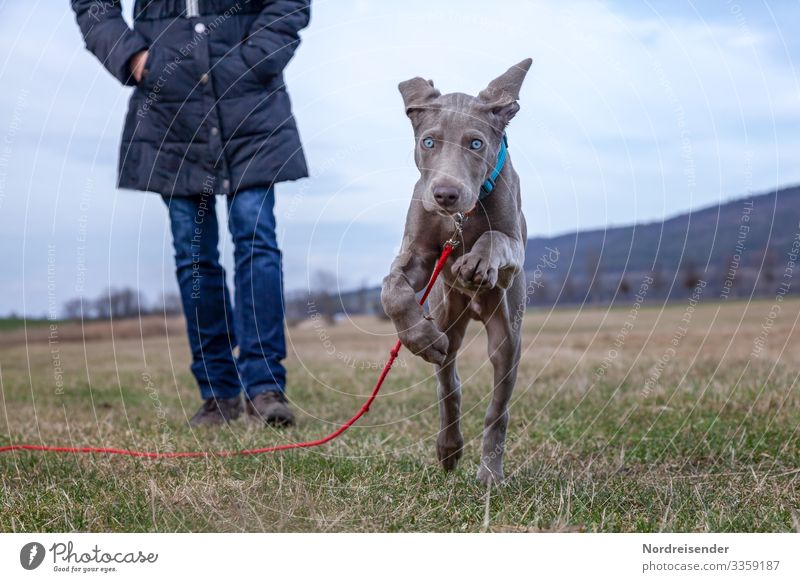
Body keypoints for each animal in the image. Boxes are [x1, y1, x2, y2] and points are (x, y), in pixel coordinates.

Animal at [382, 60, 532, 488]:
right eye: (429, 142)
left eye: (477, 144)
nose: (445, 195)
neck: (459, 221)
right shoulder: (416, 254)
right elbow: (392, 287)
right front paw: (417, 337)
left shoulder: (513, 250)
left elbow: (497, 238)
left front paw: (478, 261)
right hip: (448, 314)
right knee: (449, 384)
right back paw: (448, 449)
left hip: (507, 334)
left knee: (498, 408)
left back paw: (489, 472)